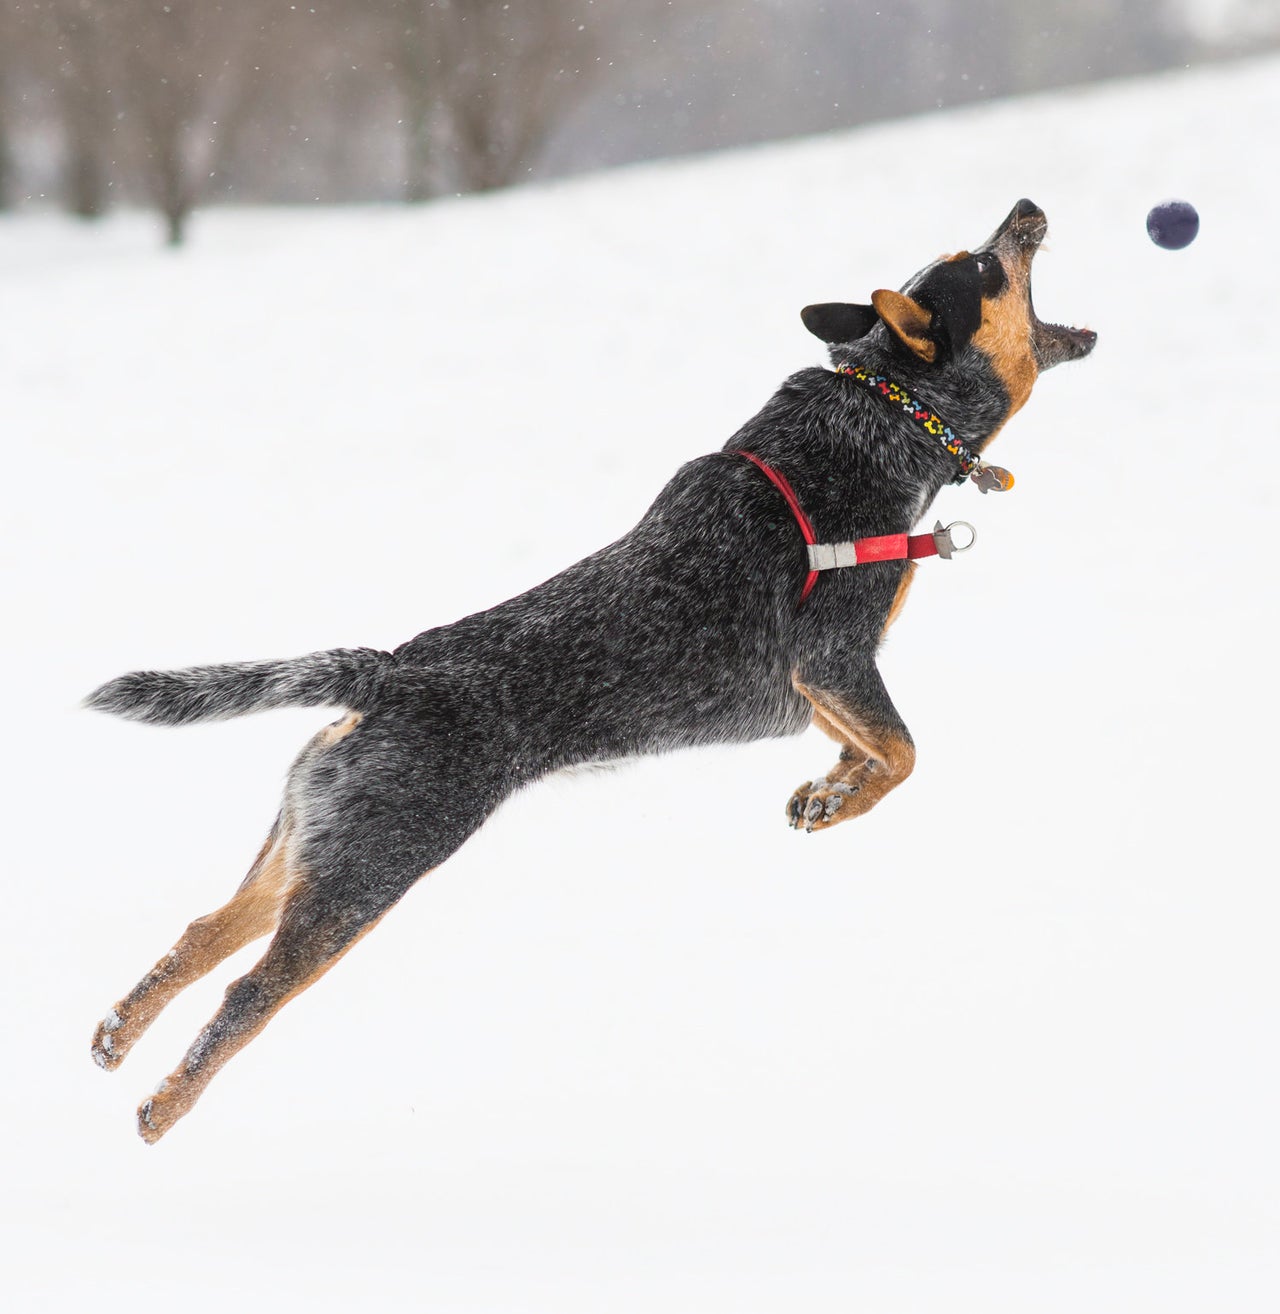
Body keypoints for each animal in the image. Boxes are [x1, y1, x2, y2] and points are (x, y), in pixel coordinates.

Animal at [85, 194, 1098, 1140]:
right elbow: (905, 753)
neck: (890, 410)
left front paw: (824, 792)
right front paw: (845, 800)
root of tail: (383, 672)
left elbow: (865, 749)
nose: (1024, 208)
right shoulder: (834, 657)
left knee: (203, 932)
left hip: (309, 843)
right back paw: (162, 1108)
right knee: (246, 995)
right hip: (370, 870)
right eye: (983, 266)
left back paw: (113, 1038)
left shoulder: (822, 688)